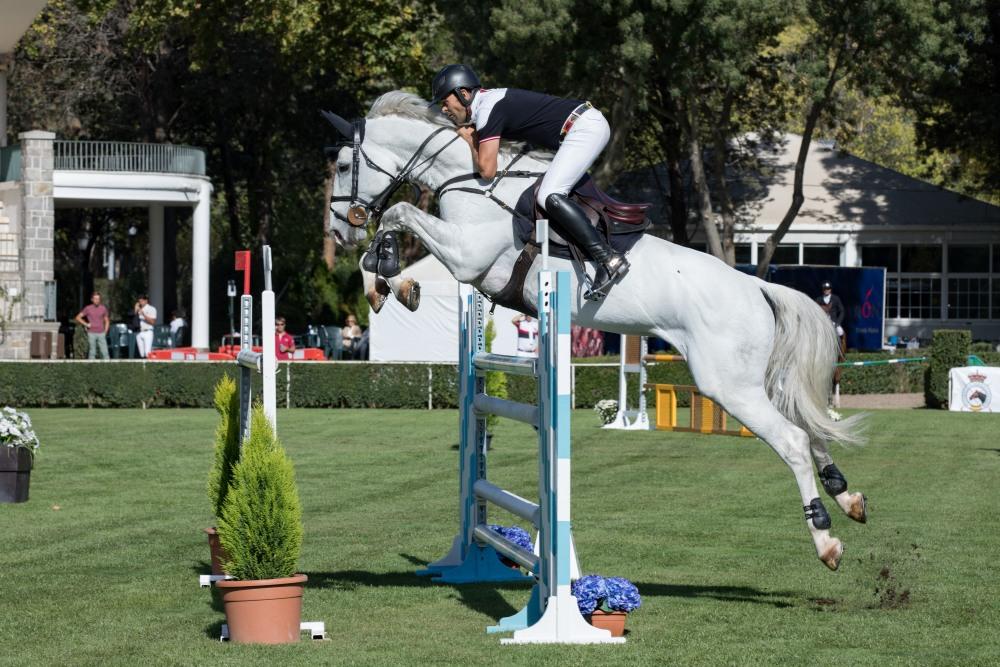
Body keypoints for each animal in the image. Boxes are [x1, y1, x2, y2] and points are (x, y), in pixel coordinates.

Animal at [328, 91, 868, 572]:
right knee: (810, 426)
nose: (340, 230)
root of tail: (756, 286)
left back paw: (826, 541)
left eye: (341, 164)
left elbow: (398, 213)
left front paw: (392, 277)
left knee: (793, 440)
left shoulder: (468, 259)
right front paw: (388, 283)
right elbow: (395, 223)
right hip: (758, 381)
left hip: (729, 385)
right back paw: (848, 498)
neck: (470, 182)